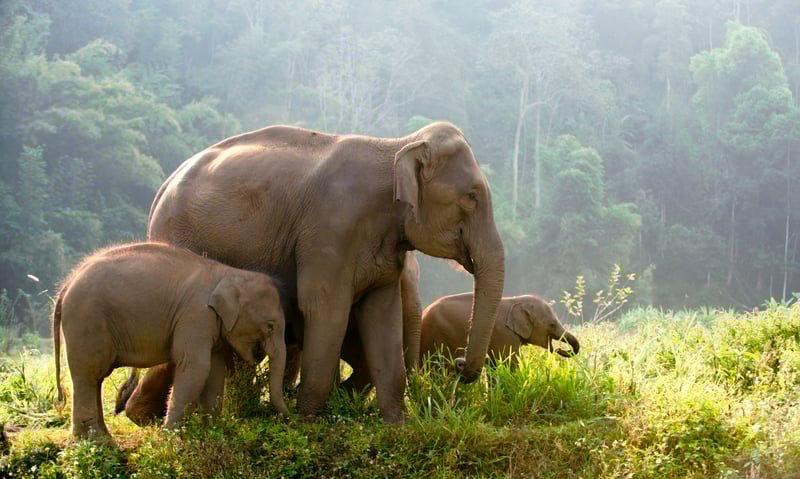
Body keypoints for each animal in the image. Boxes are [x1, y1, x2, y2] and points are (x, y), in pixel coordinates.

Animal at [53, 242, 288, 438]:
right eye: (270, 326)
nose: (288, 420)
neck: (229, 273)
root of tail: (65, 286)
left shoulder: (210, 325)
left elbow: (214, 371)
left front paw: (212, 434)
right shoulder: (196, 315)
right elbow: (196, 367)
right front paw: (171, 438)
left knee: (95, 378)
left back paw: (100, 439)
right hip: (86, 320)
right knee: (90, 374)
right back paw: (96, 442)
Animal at [118, 121, 505, 423]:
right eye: (472, 196)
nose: (459, 364)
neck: (396, 145)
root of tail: (163, 186)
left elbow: (382, 316)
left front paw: (396, 425)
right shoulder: (331, 229)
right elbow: (325, 308)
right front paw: (311, 422)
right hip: (179, 238)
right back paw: (145, 417)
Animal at [419, 293, 580, 370]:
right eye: (552, 325)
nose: (559, 349)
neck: (515, 300)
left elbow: (495, 365)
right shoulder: (503, 334)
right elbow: (509, 363)